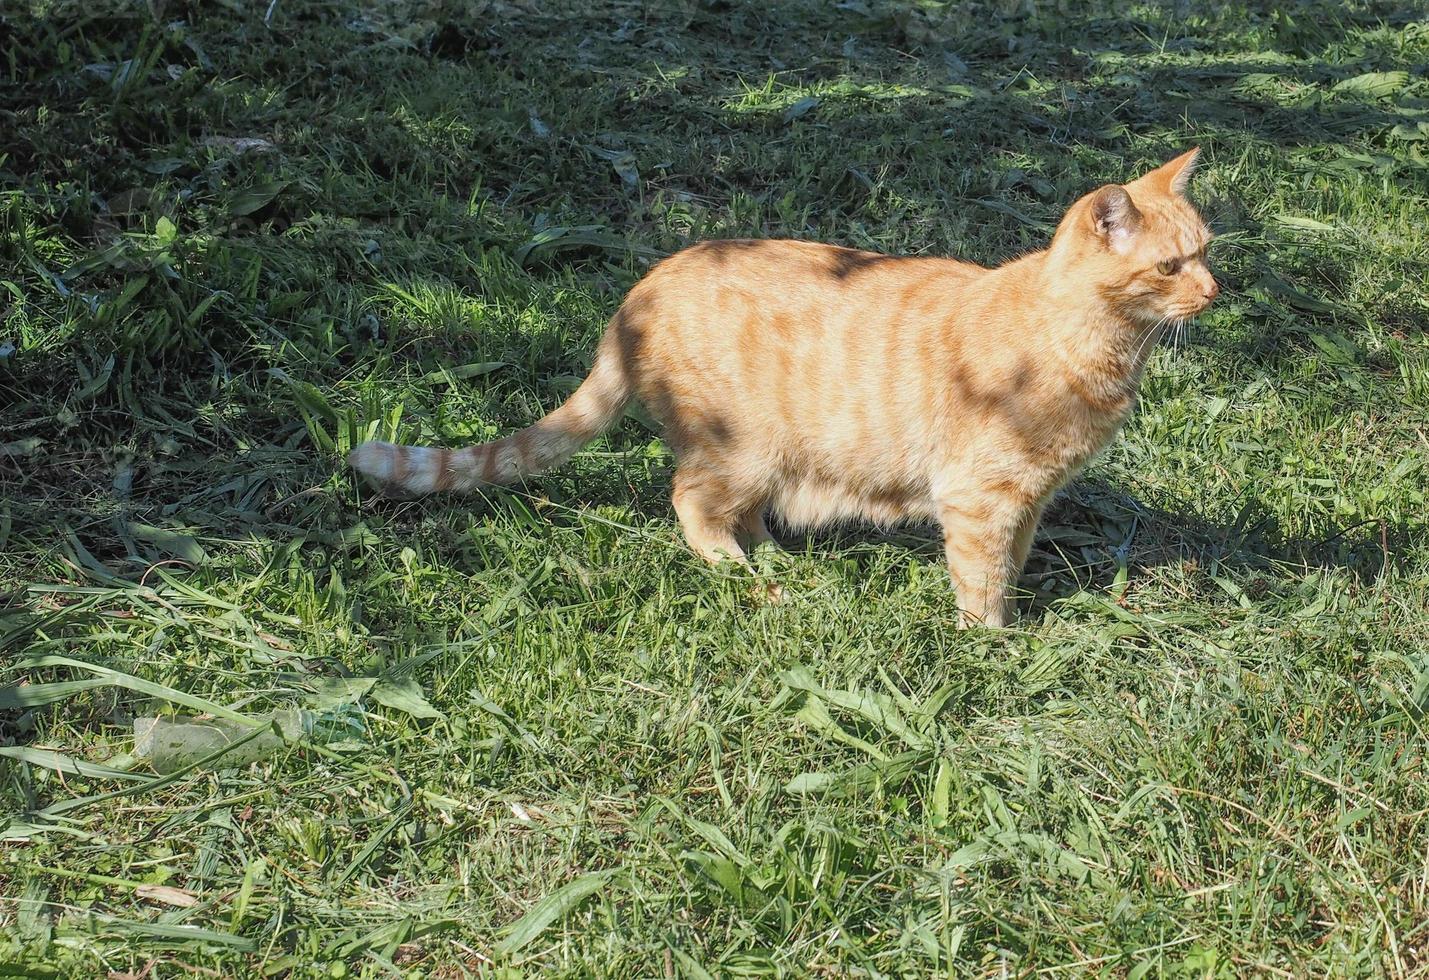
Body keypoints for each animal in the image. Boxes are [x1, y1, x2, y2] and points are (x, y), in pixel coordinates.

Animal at [348, 148, 1217, 625]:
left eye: (1207, 250)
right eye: (1170, 266)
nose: (1214, 293)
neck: (1092, 348)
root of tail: (641, 288)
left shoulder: (1029, 497)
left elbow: (1013, 557)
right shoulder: (979, 496)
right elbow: (980, 576)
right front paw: (991, 637)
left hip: (770, 460)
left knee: (740, 510)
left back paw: (775, 555)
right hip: (738, 450)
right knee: (691, 502)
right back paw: (739, 568)